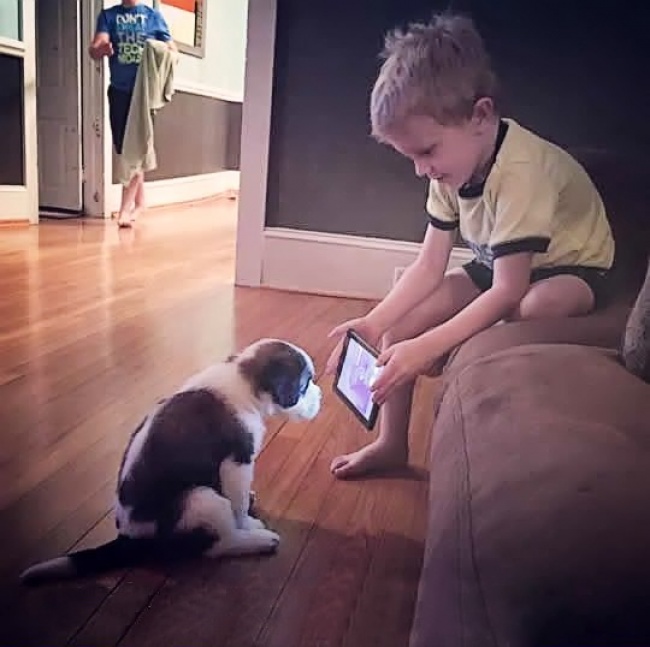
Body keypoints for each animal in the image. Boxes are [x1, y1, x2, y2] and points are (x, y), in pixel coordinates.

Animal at [20, 340, 322, 588]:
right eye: (305, 385)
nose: (320, 396)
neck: (243, 379)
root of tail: (128, 539)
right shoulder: (237, 464)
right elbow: (237, 506)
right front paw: (248, 523)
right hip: (201, 498)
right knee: (215, 544)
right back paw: (257, 540)